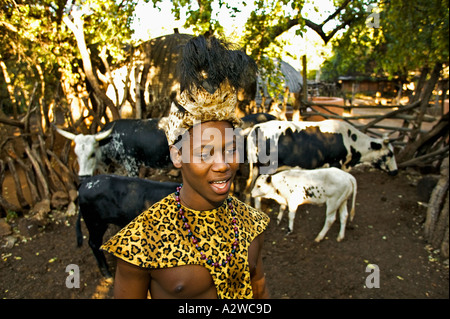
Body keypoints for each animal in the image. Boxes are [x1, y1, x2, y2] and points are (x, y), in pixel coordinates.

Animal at [246, 120, 398, 205]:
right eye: (390, 153)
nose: (396, 171)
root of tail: (257, 127)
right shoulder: (335, 162)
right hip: (266, 167)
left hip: (255, 166)